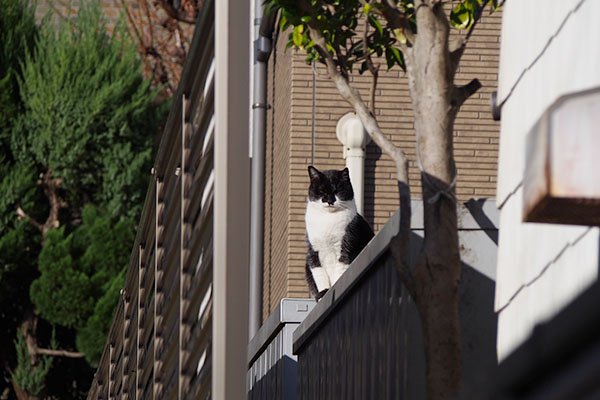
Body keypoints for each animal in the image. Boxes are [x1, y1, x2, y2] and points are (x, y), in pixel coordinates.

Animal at [308, 166, 372, 300]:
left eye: (337, 191)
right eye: (321, 191)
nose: (329, 201)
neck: (328, 218)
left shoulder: (346, 245)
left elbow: (340, 270)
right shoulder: (313, 250)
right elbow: (319, 273)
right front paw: (323, 293)